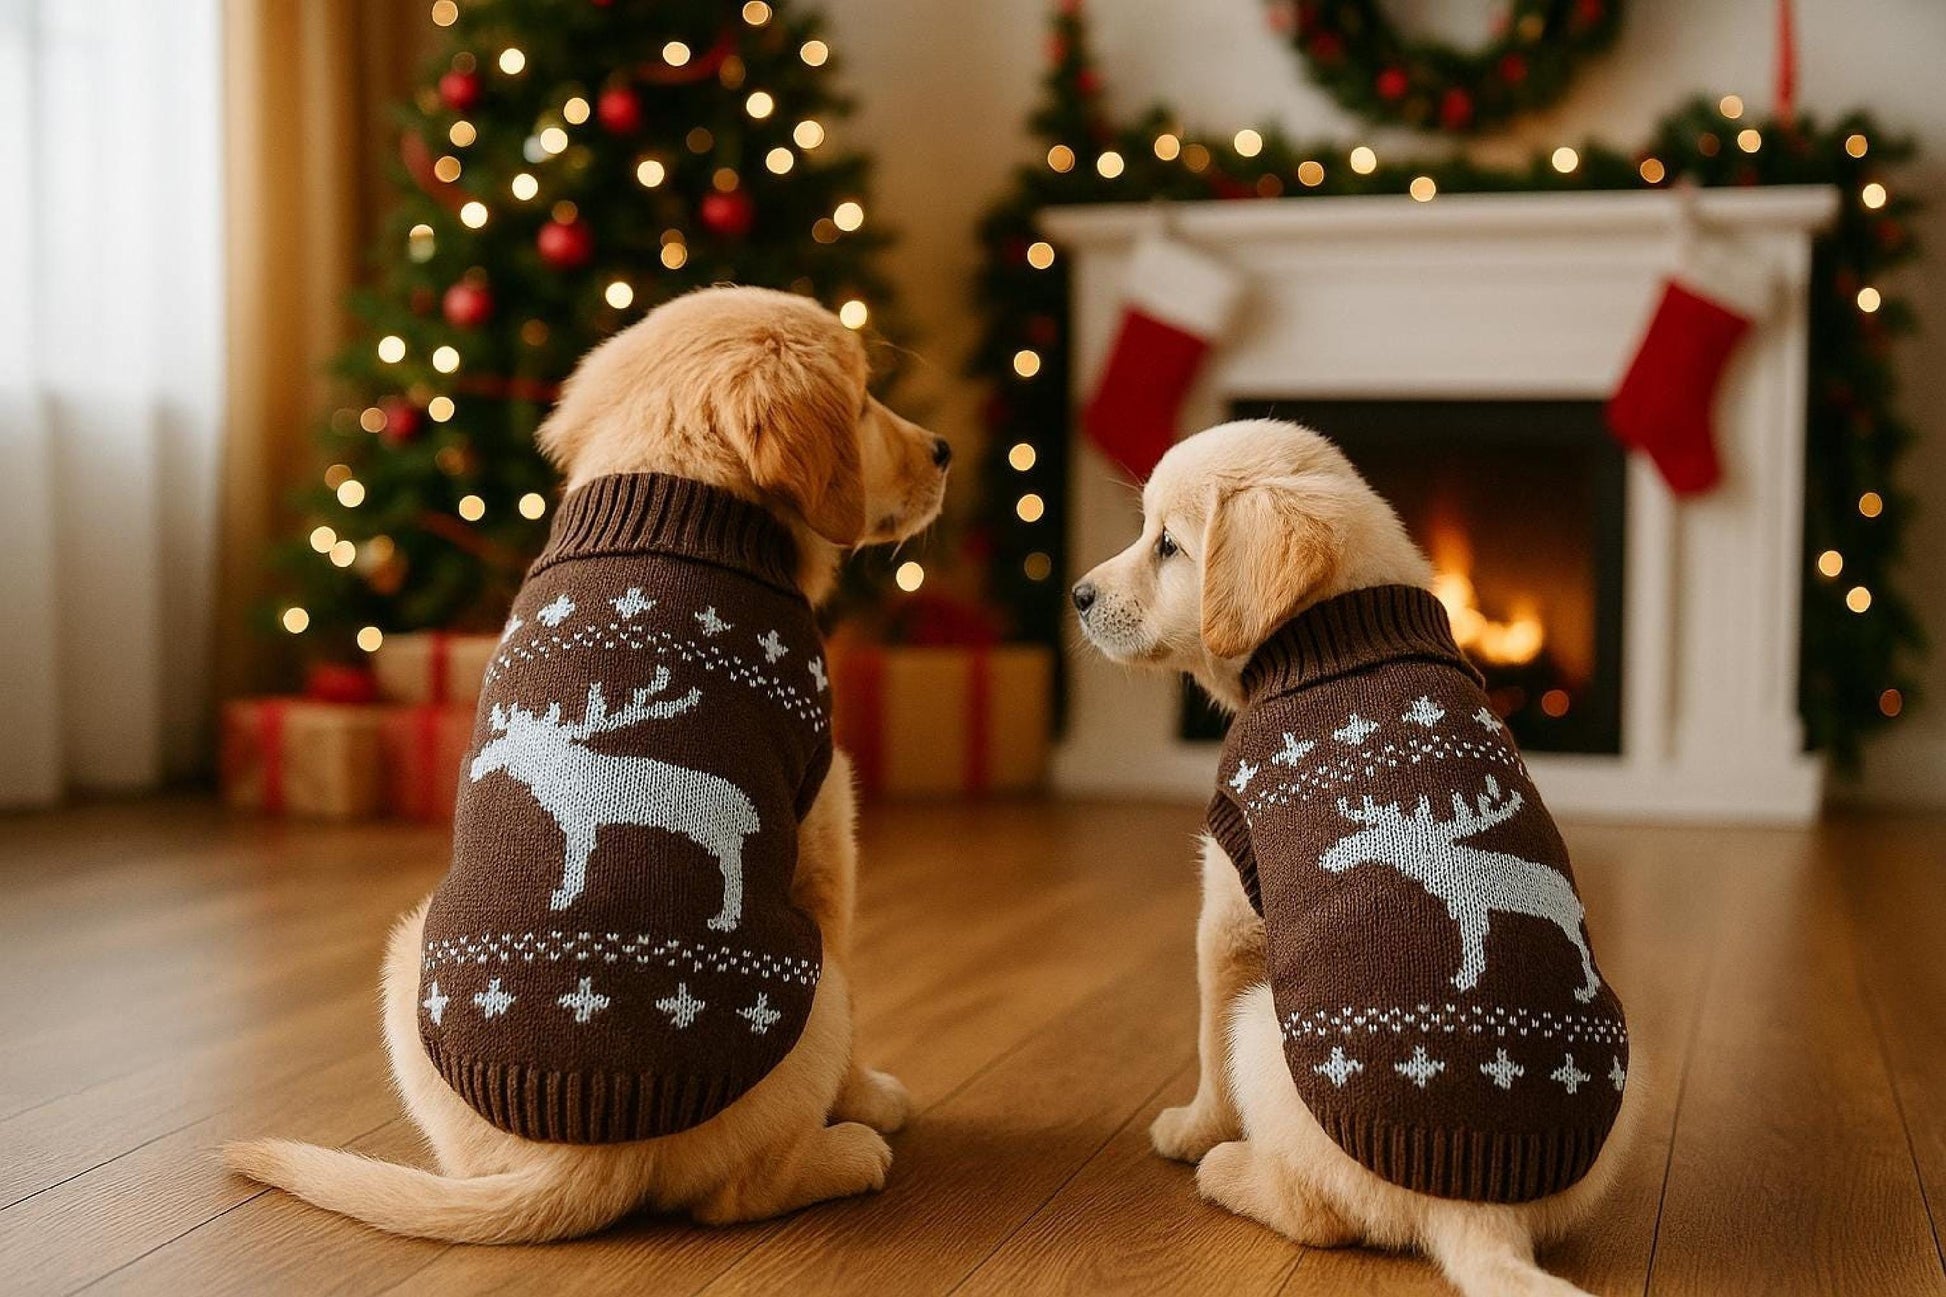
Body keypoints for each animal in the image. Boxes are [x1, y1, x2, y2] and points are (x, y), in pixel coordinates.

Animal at [468, 669, 760, 928]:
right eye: (508, 736)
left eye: (528, 742)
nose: (480, 762)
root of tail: (747, 810)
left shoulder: (580, 822)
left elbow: (577, 858)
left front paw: (565, 896)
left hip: (719, 835)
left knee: (732, 870)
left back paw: (725, 919)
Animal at [1319, 775, 1601, 1003]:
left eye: (1380, 835)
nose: (1332, 854)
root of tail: (1573, 896)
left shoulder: (1472, 907)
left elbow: (1472, 941)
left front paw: (1466, 979)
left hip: (1566, 920)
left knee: (1582, 949)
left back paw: (1586, 990)